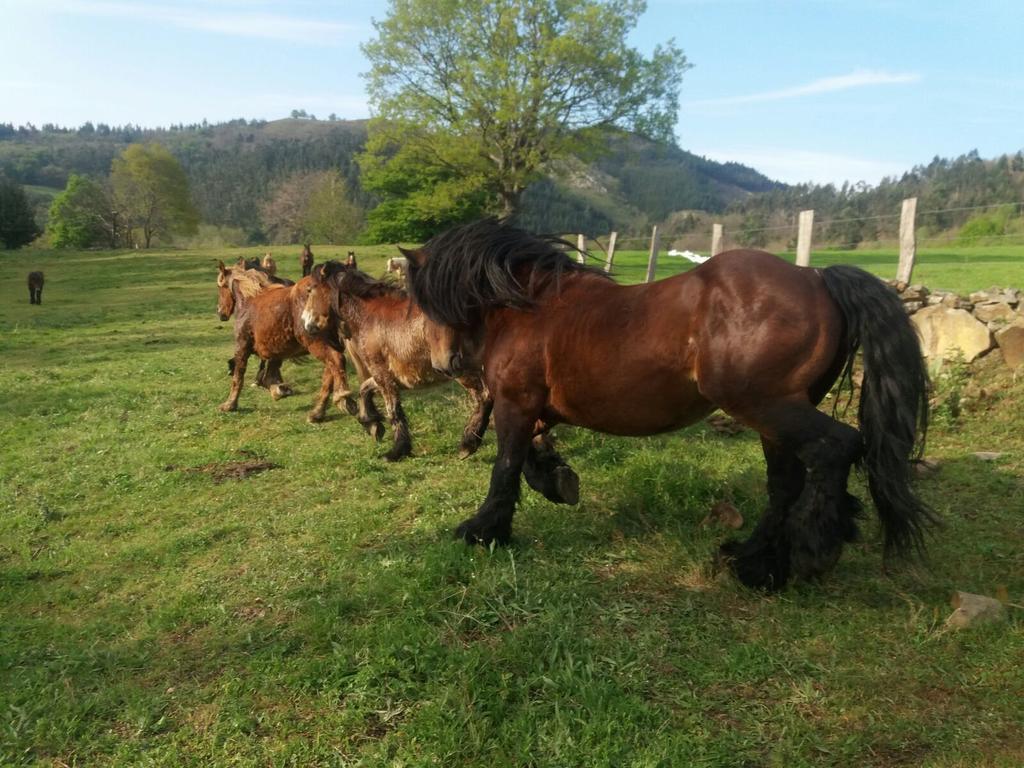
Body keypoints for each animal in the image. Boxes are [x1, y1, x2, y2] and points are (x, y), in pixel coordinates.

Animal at [216, 264, 356, 421]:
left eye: (220, 287)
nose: (220, 312)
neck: (249, 300)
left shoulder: (242, 347)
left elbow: (238, 377)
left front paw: (230, 404)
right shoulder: (276, 350)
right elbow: (270, 375)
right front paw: (279, 390)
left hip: (315, 343)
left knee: (336, 360)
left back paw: (343, 399)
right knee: (331, 370)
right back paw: (317, 412)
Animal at [299, 259, 491, 462]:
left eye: (310, 290)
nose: (305, 324)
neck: (369, 316)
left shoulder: (382, 374)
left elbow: (393, 409)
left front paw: (396, 450)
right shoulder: (387, 375)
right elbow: (364, 389)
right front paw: (372, 424)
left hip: (461, 369)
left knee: (484, 396)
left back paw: (467, 444)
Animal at [401, 219, 937, 593]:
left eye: (429, 300)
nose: (446, 363)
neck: (530, 307)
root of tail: (816, 276)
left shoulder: (515, 402)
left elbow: (506, 467)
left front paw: (482, 530)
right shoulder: (532, 407)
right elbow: (532, 455)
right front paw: (558, 482)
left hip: (765, 406)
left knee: (836, 448)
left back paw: (812, 551)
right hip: (775, 418)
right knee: (786, 485)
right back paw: (753, 563)